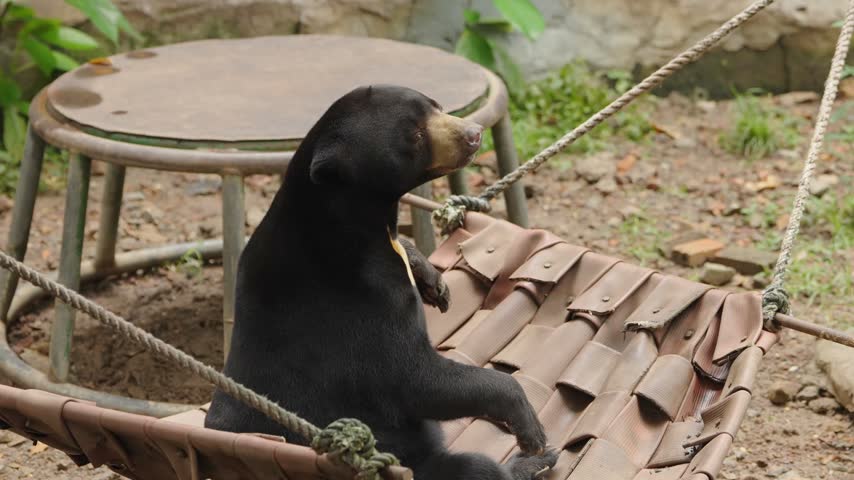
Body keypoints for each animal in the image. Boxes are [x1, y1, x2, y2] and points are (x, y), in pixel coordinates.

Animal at [205, 85, 557, 479]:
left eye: (435, 106)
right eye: (414, 135)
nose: (473, 134)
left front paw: (433, 282)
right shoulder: (360, 302)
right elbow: (415, 378)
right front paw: (531, 431)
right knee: (473, 467)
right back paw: (531, 462)